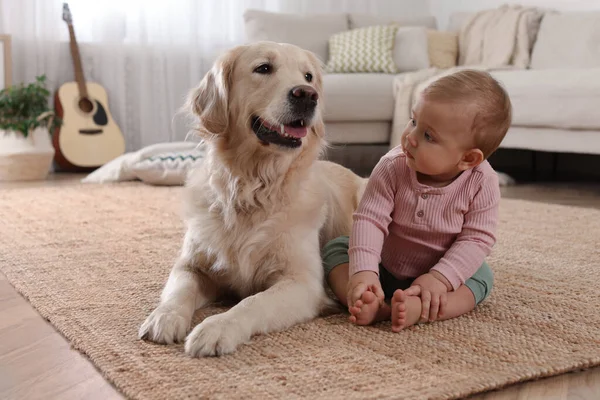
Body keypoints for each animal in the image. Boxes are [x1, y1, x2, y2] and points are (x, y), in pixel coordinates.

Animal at [139, 42, 366, 358]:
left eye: (308, 76)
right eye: (263, 68)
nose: (308, 95)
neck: (253, 188)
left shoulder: (302, 283)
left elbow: (252, 302)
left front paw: (216, 328)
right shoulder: (191, 265)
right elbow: (178, 289)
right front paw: (164, 316)